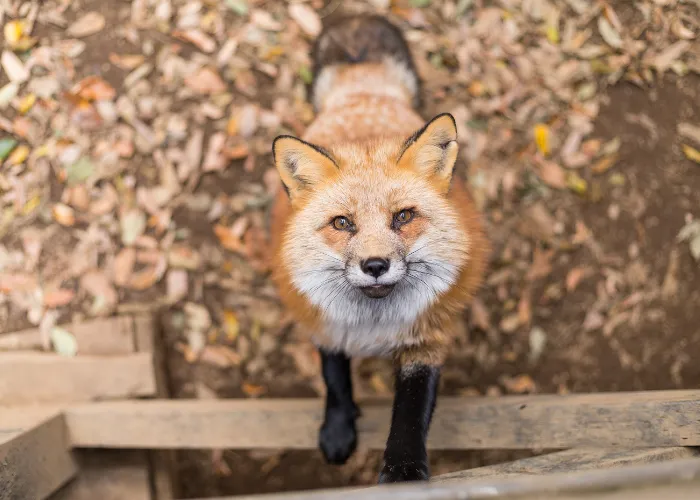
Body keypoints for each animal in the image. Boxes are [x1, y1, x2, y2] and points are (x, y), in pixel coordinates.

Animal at [270, 14, 490, 484]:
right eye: (342, 223)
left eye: (403, 217)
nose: (375, 265)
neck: (374, 326)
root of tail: (364, 91)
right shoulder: (324, 322)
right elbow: (334, 378)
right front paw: (337, 430)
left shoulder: (426, 340)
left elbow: (409, 412)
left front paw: (403, 470)